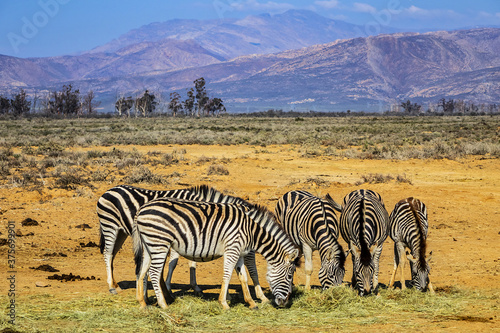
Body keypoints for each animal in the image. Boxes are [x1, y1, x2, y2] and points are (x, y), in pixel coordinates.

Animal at [98, 184, 270, 304]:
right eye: (250, 250)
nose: (262, 295)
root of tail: (110, 190)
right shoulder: (185, 234)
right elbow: (176, 263)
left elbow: (190, 262)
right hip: (110, 226)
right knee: (108, 254)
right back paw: (111, 286)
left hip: (121, 232)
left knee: (113, 254)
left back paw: (116, 284)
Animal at [131, 197, 300, 308]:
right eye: (290, 276)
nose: (285, 303)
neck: (251, 230)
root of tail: (141, 209)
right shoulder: (232, 248)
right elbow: (228, 275)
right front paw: (224, 303)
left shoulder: (239, 252)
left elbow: (243, 277)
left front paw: (251, 302)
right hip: (159, 243)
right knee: (153, 272)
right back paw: (163, 305)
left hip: (149, 245)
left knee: (142, 271)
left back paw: (142, 303)